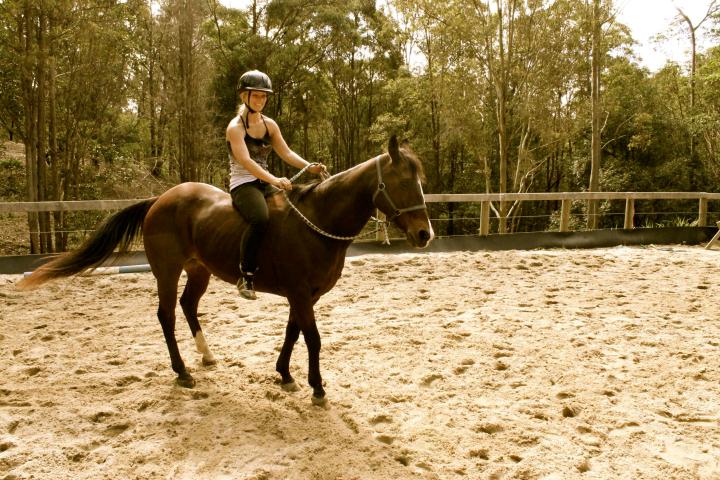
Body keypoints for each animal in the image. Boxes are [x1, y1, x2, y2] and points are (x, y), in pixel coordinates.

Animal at [18, 135, 434, 405]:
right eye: (400, 181)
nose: (424, 234)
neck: (316, 221)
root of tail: (161, 198)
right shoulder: (301, 295)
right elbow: (313, 339)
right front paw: (317, 388)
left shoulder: (304, 296)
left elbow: (293, 333)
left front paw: (284, 375)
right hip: (166, 270)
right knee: (167, 315)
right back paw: (182, 371)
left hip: (198, 269)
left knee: (188, 306)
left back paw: (206, 356)